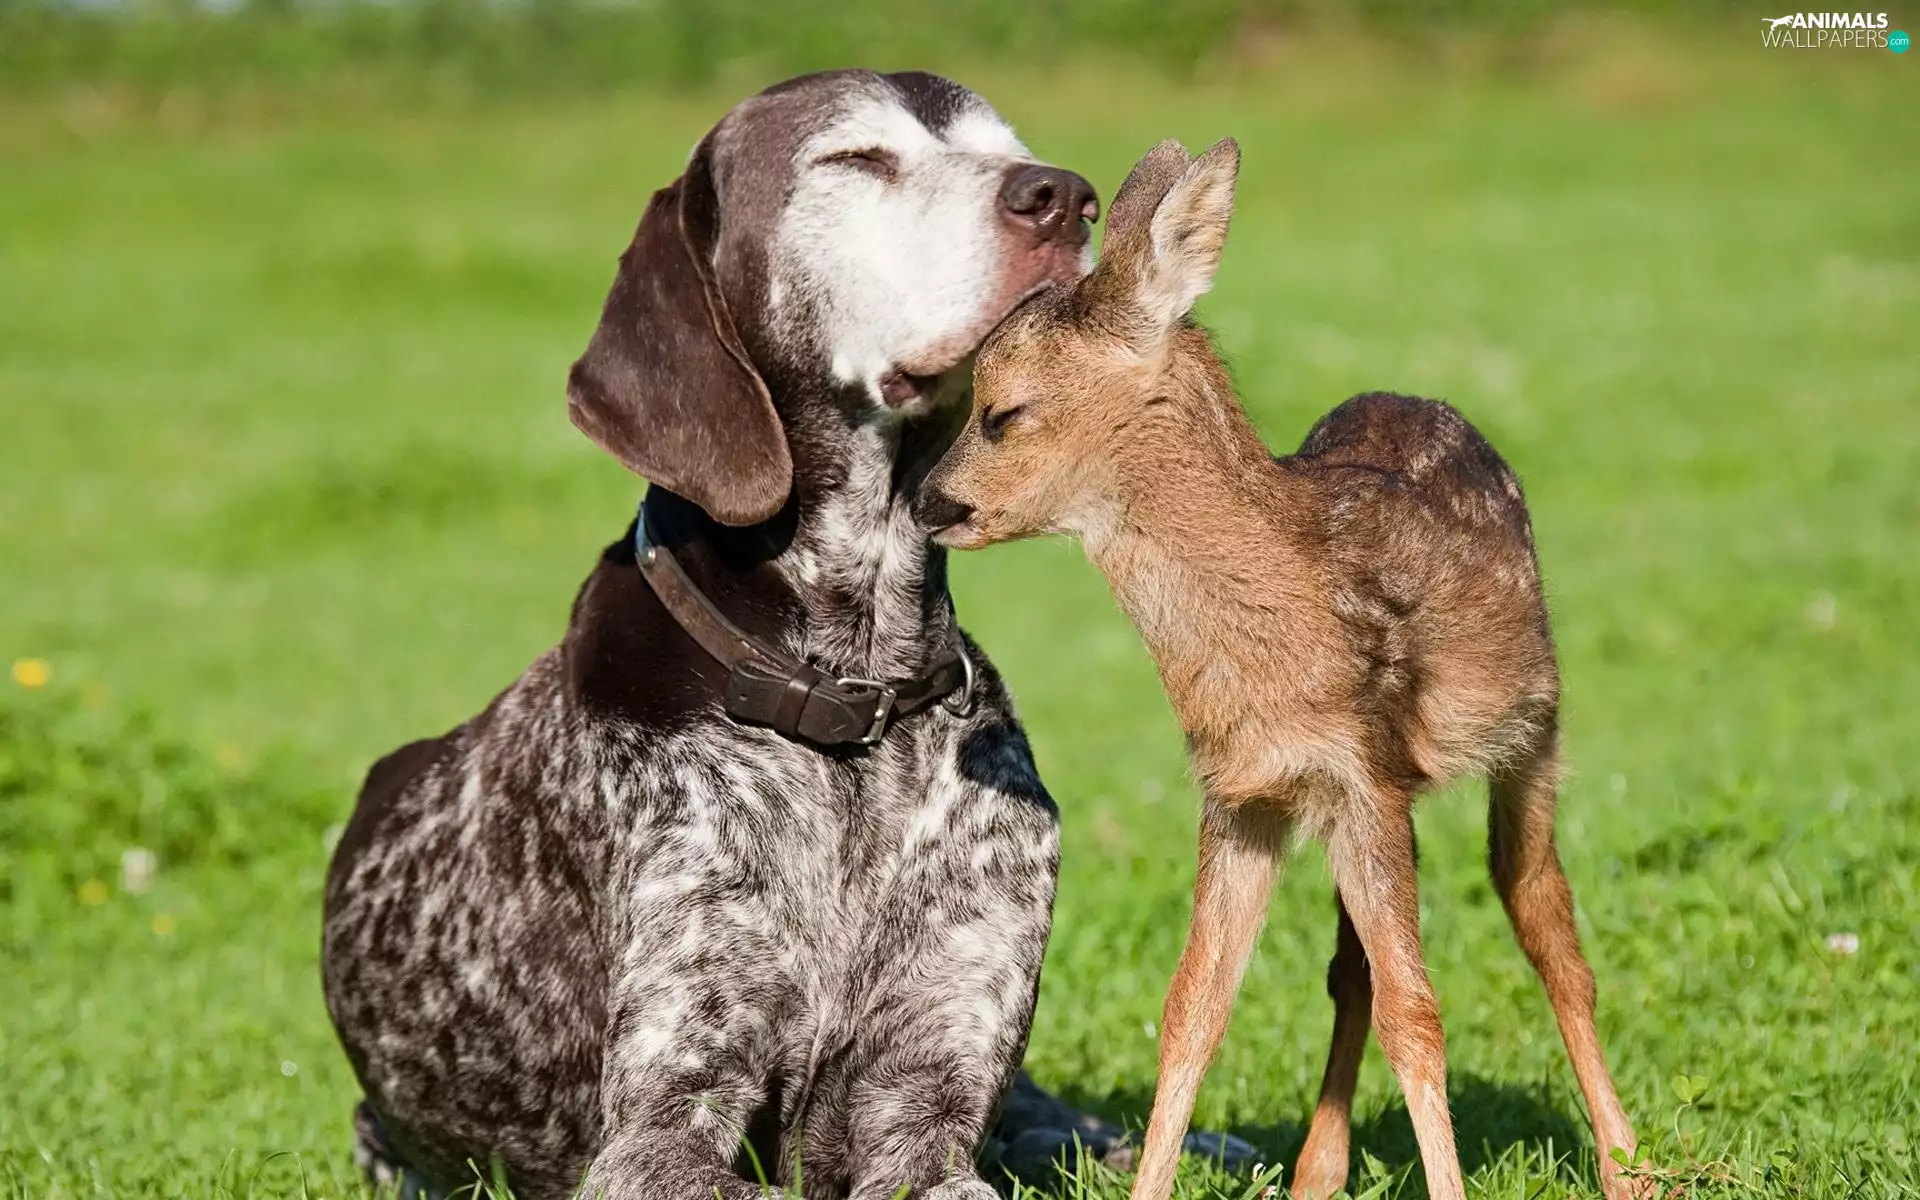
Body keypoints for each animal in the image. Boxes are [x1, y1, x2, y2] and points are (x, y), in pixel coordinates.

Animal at [913, 138, 1644, 1200]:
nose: (931, 502)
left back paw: (1628, 1161)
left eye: (1003, 411)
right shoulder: (1244, 794)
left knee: (1543, 915)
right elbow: (1195, 1007)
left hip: (1532, 729)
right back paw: (1318, 1171)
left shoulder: (1363, 770)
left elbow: (1419, 1014)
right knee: (1354, 969)